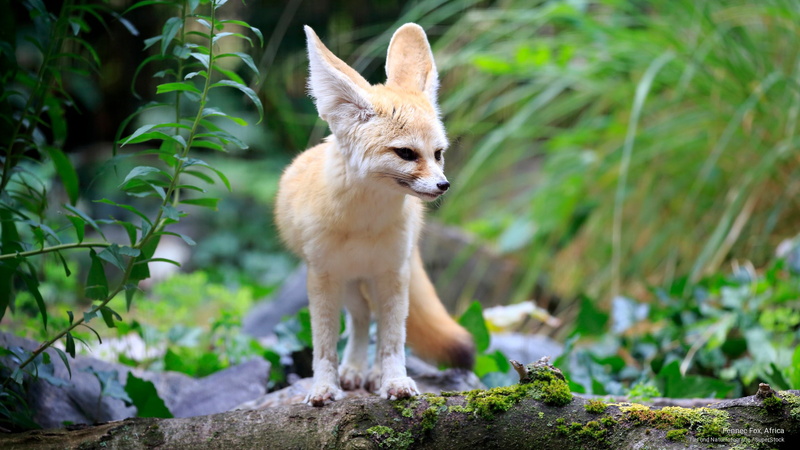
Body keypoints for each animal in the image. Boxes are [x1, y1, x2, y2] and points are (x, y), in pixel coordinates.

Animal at [275, 23, 475, 406]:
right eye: (406, 153)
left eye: (438, 153)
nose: (443, 185)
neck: (362, 225)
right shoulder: (323, 277)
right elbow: (323, 346)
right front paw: (324, 387)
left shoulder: (392, 273)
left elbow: (393, 341)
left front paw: (394, 381)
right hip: (351, 283)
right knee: (359, 319)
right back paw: (353, 370)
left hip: (377, 280)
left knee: (375, 324)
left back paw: (370, 373)